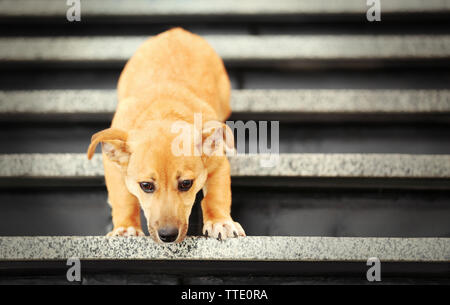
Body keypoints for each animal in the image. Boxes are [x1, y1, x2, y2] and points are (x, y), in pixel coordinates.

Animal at [88, 28, 246, 242]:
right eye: (146, 185)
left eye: (186, 184)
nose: (168, 236)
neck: (163, 111)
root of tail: (177, 31)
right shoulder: (113, 167)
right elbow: (123, 198)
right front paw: (126, 227)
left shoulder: (218, 163)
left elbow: (216, 195)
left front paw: (220, 221)